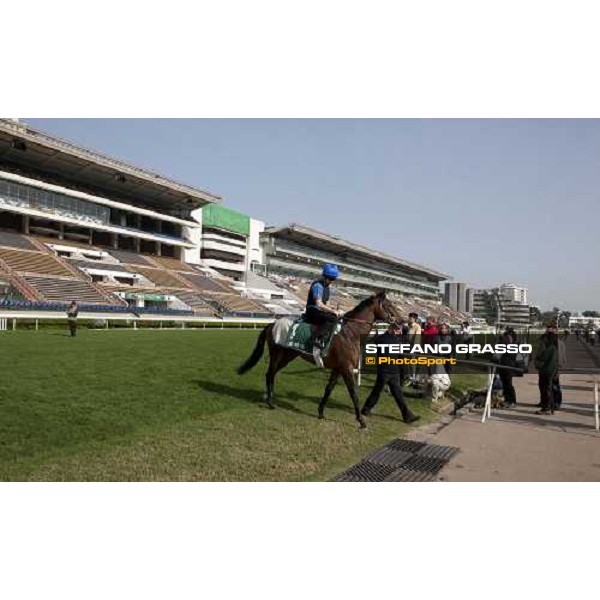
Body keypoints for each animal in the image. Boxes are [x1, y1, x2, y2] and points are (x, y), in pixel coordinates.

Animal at [236, 290, 398, 426]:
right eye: (390, 305)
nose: (400, 321)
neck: (350, 333)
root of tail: (272, 324)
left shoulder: (338, 368)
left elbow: (329, 389)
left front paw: (320, 412)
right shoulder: (346, 368)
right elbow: (353, 393)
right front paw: (361, 420)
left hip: (288, 356)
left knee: (272, 374)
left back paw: (269, 397)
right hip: (277, 354)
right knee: (270, 374)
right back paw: (270, 402)